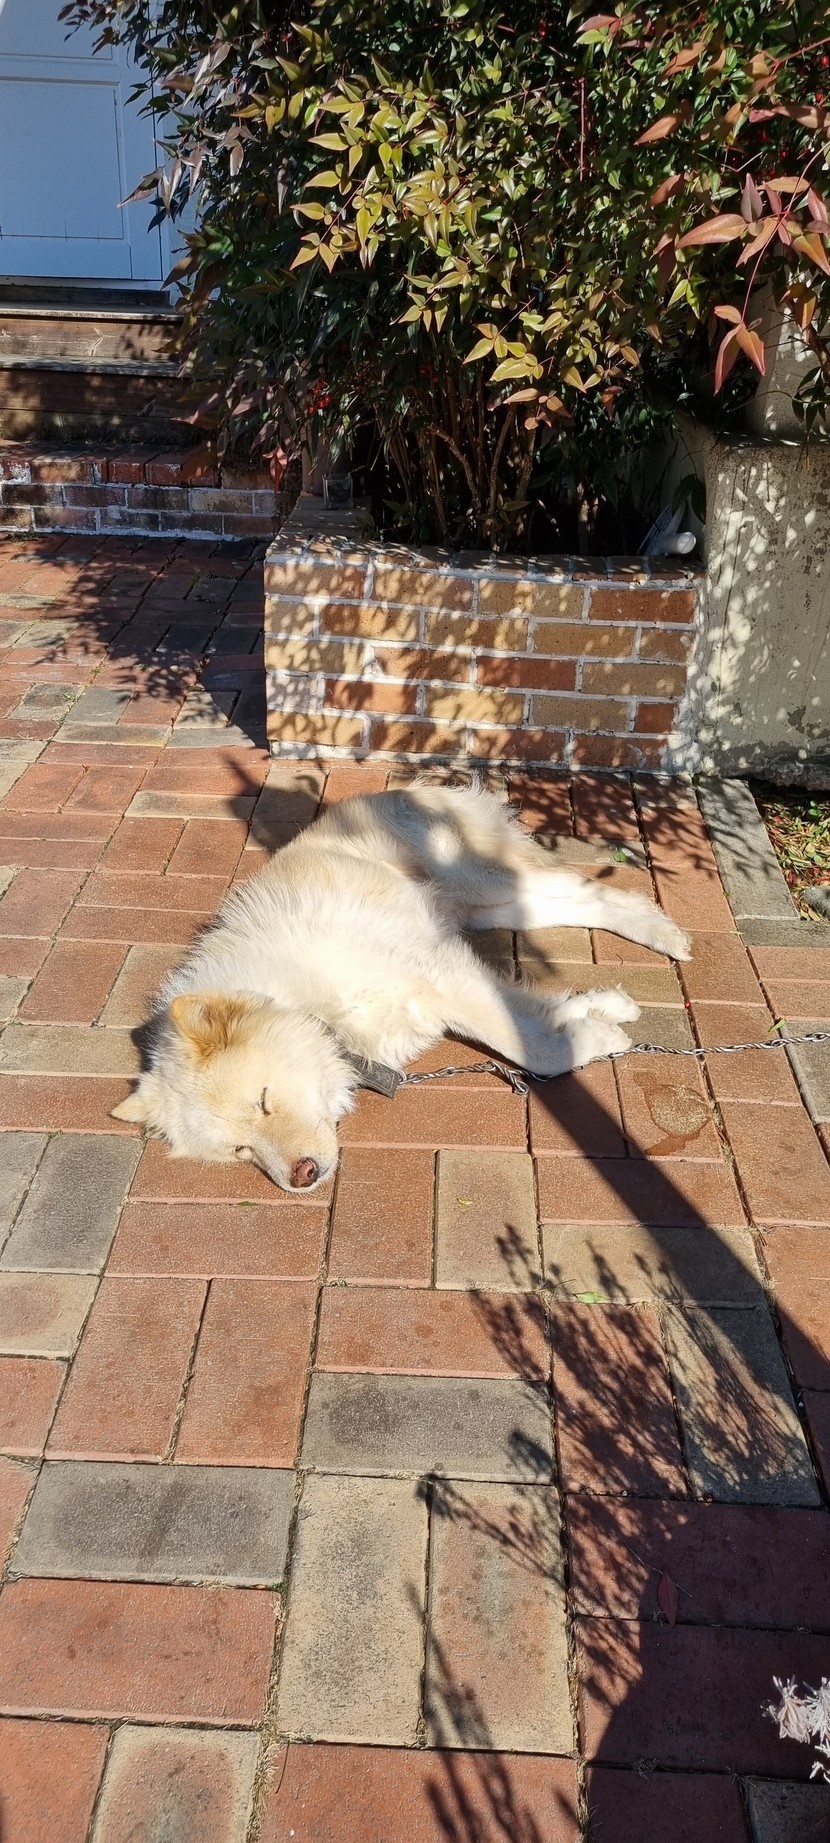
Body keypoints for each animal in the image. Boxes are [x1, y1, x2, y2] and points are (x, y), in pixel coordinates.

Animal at [112, 781, 690, 1191]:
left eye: (264, 1101)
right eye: (242, 1151)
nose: (301, 1177)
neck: (309, 1005)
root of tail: (405, 787)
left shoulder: (440, 974)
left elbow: (533, 1048)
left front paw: (598, 1038)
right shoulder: (454, 971)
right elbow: (536, 1016)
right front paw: (602, 1011)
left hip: (485, 884)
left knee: (589, 887)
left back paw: (664, 932)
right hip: (484, 908)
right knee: (572, 903)